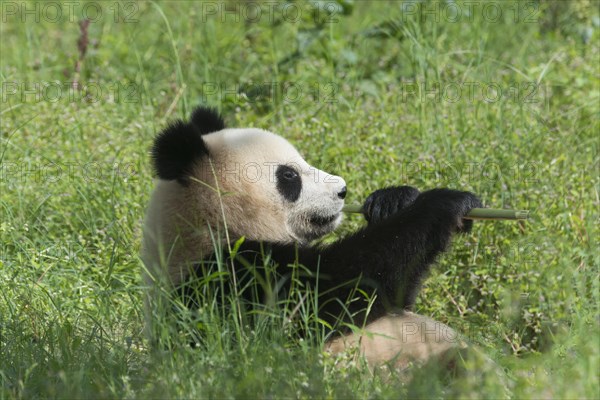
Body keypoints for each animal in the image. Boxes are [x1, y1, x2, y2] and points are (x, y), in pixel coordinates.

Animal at [142, 107, 482, 372]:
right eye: (289, 176)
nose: (342, 190)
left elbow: (397, 296)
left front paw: (393, 200)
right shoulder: (229, 277)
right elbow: (338, 290)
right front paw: (443, 203)